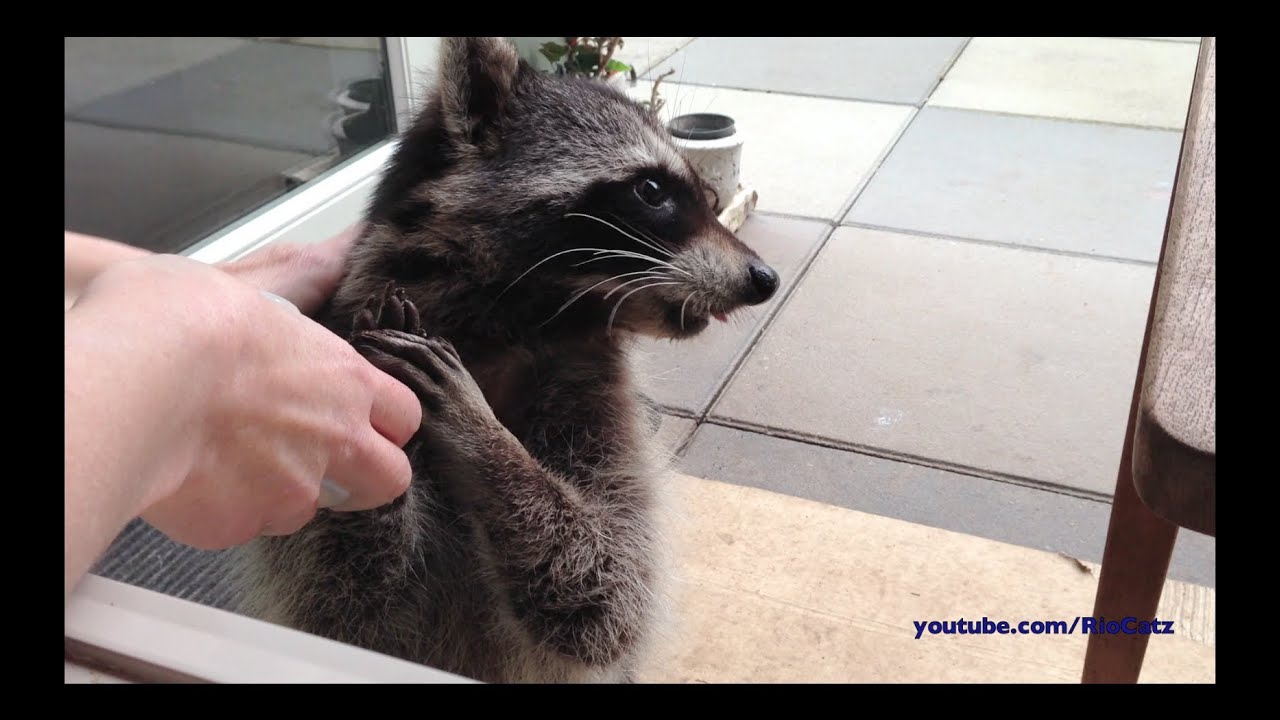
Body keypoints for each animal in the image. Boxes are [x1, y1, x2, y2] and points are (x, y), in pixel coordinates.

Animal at [233, 36, 780, 683]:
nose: (764, 279)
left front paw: (486, 441)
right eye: (651, 191)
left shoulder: (593, 391)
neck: (517, 319)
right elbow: (345, 601)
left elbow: (612, 592)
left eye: (708, 194)